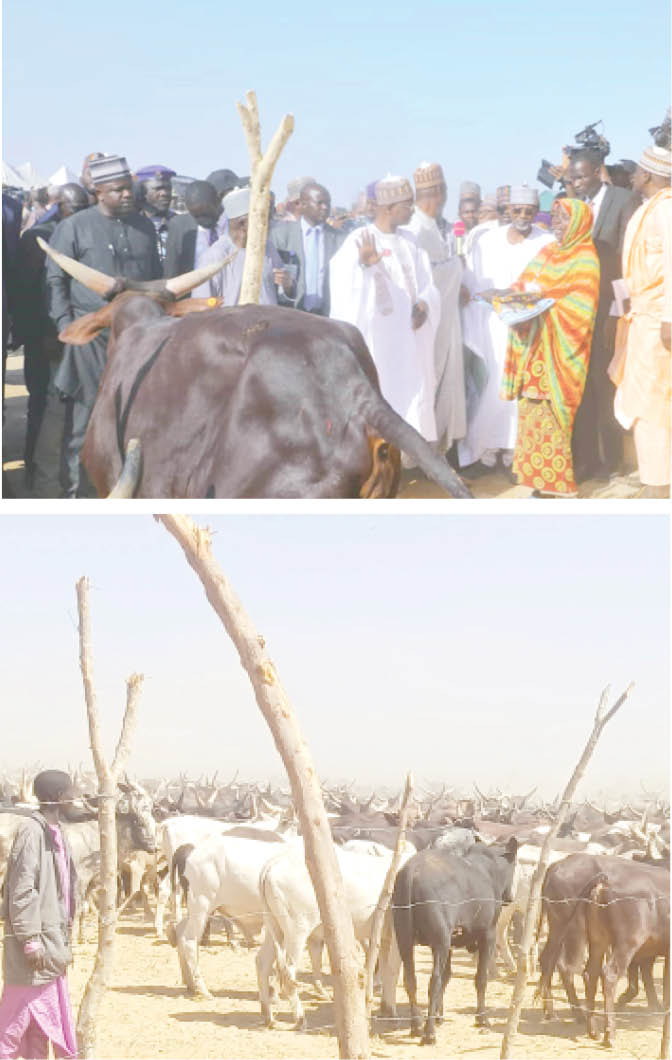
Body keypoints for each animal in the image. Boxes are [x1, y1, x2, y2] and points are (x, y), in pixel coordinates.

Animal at [387, 835, 517, 1043]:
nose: (510, 897)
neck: (486, 868)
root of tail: (411, 871)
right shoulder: (487, 935)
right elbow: (480, 978)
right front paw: (482, 1019)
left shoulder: (449, 944)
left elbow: (447, 976)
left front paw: (439, 1015)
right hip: (440, 941)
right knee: (434, 981)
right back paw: (429, 1032)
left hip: (405, 939)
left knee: (411, 979)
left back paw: (417, 1025)